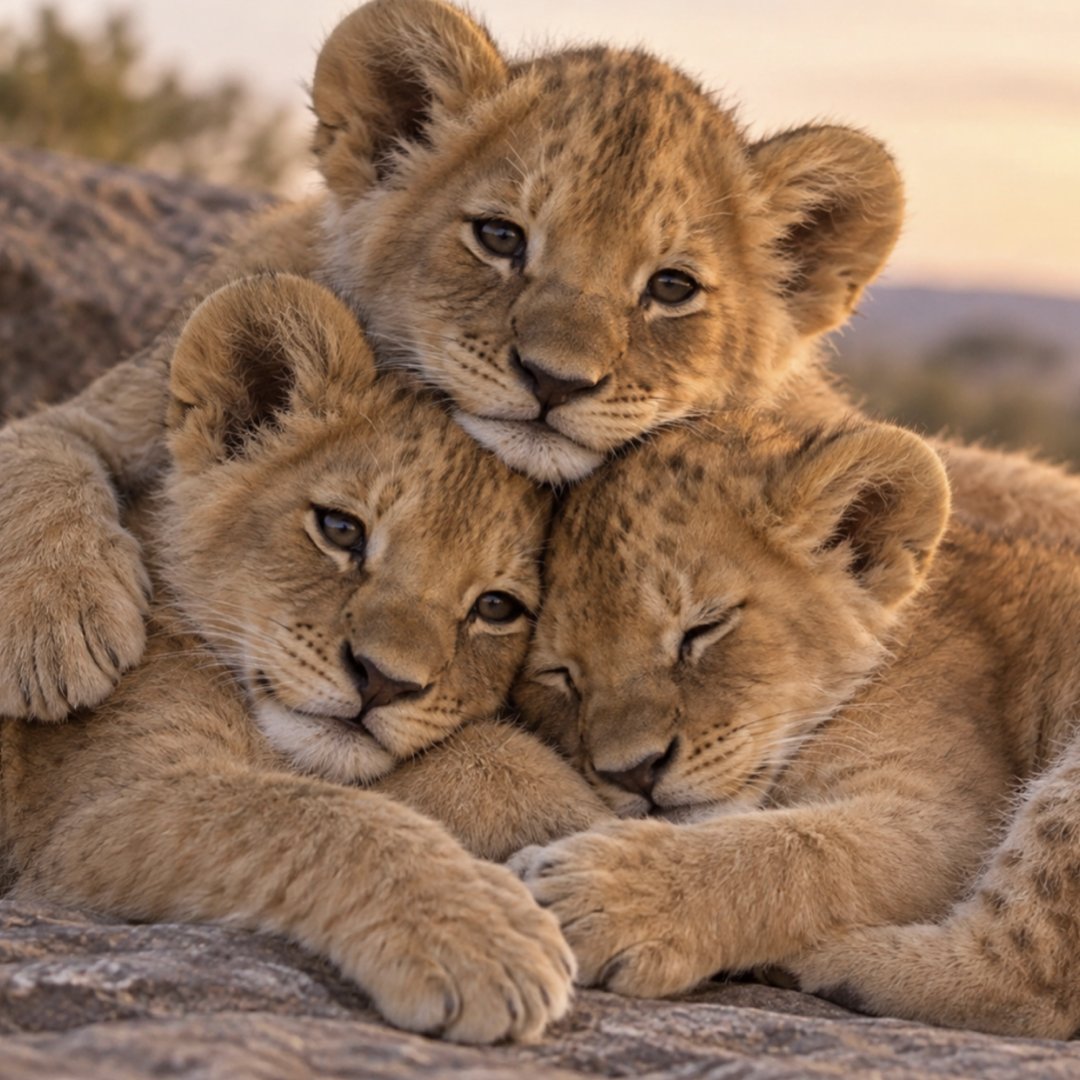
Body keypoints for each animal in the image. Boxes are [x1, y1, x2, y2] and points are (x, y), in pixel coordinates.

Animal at [0, 273, 618, 1044]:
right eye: (340, 529)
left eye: (497, 607)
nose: (383, 682)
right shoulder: (94, 816)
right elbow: (311, 816)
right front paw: (487, 937)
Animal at [1, 0, 1077, 722]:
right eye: (499, 237)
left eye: (671, 288)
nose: (557, 381)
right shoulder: (130, 401)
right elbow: (39, 449)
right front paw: (54, 633)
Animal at [511, 412, 1080, 1040]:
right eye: (560, 674)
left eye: (704, 628)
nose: (634, 772)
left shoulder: (955, 816)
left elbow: (801, 849)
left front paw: (599, 896)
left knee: (1030, 987)